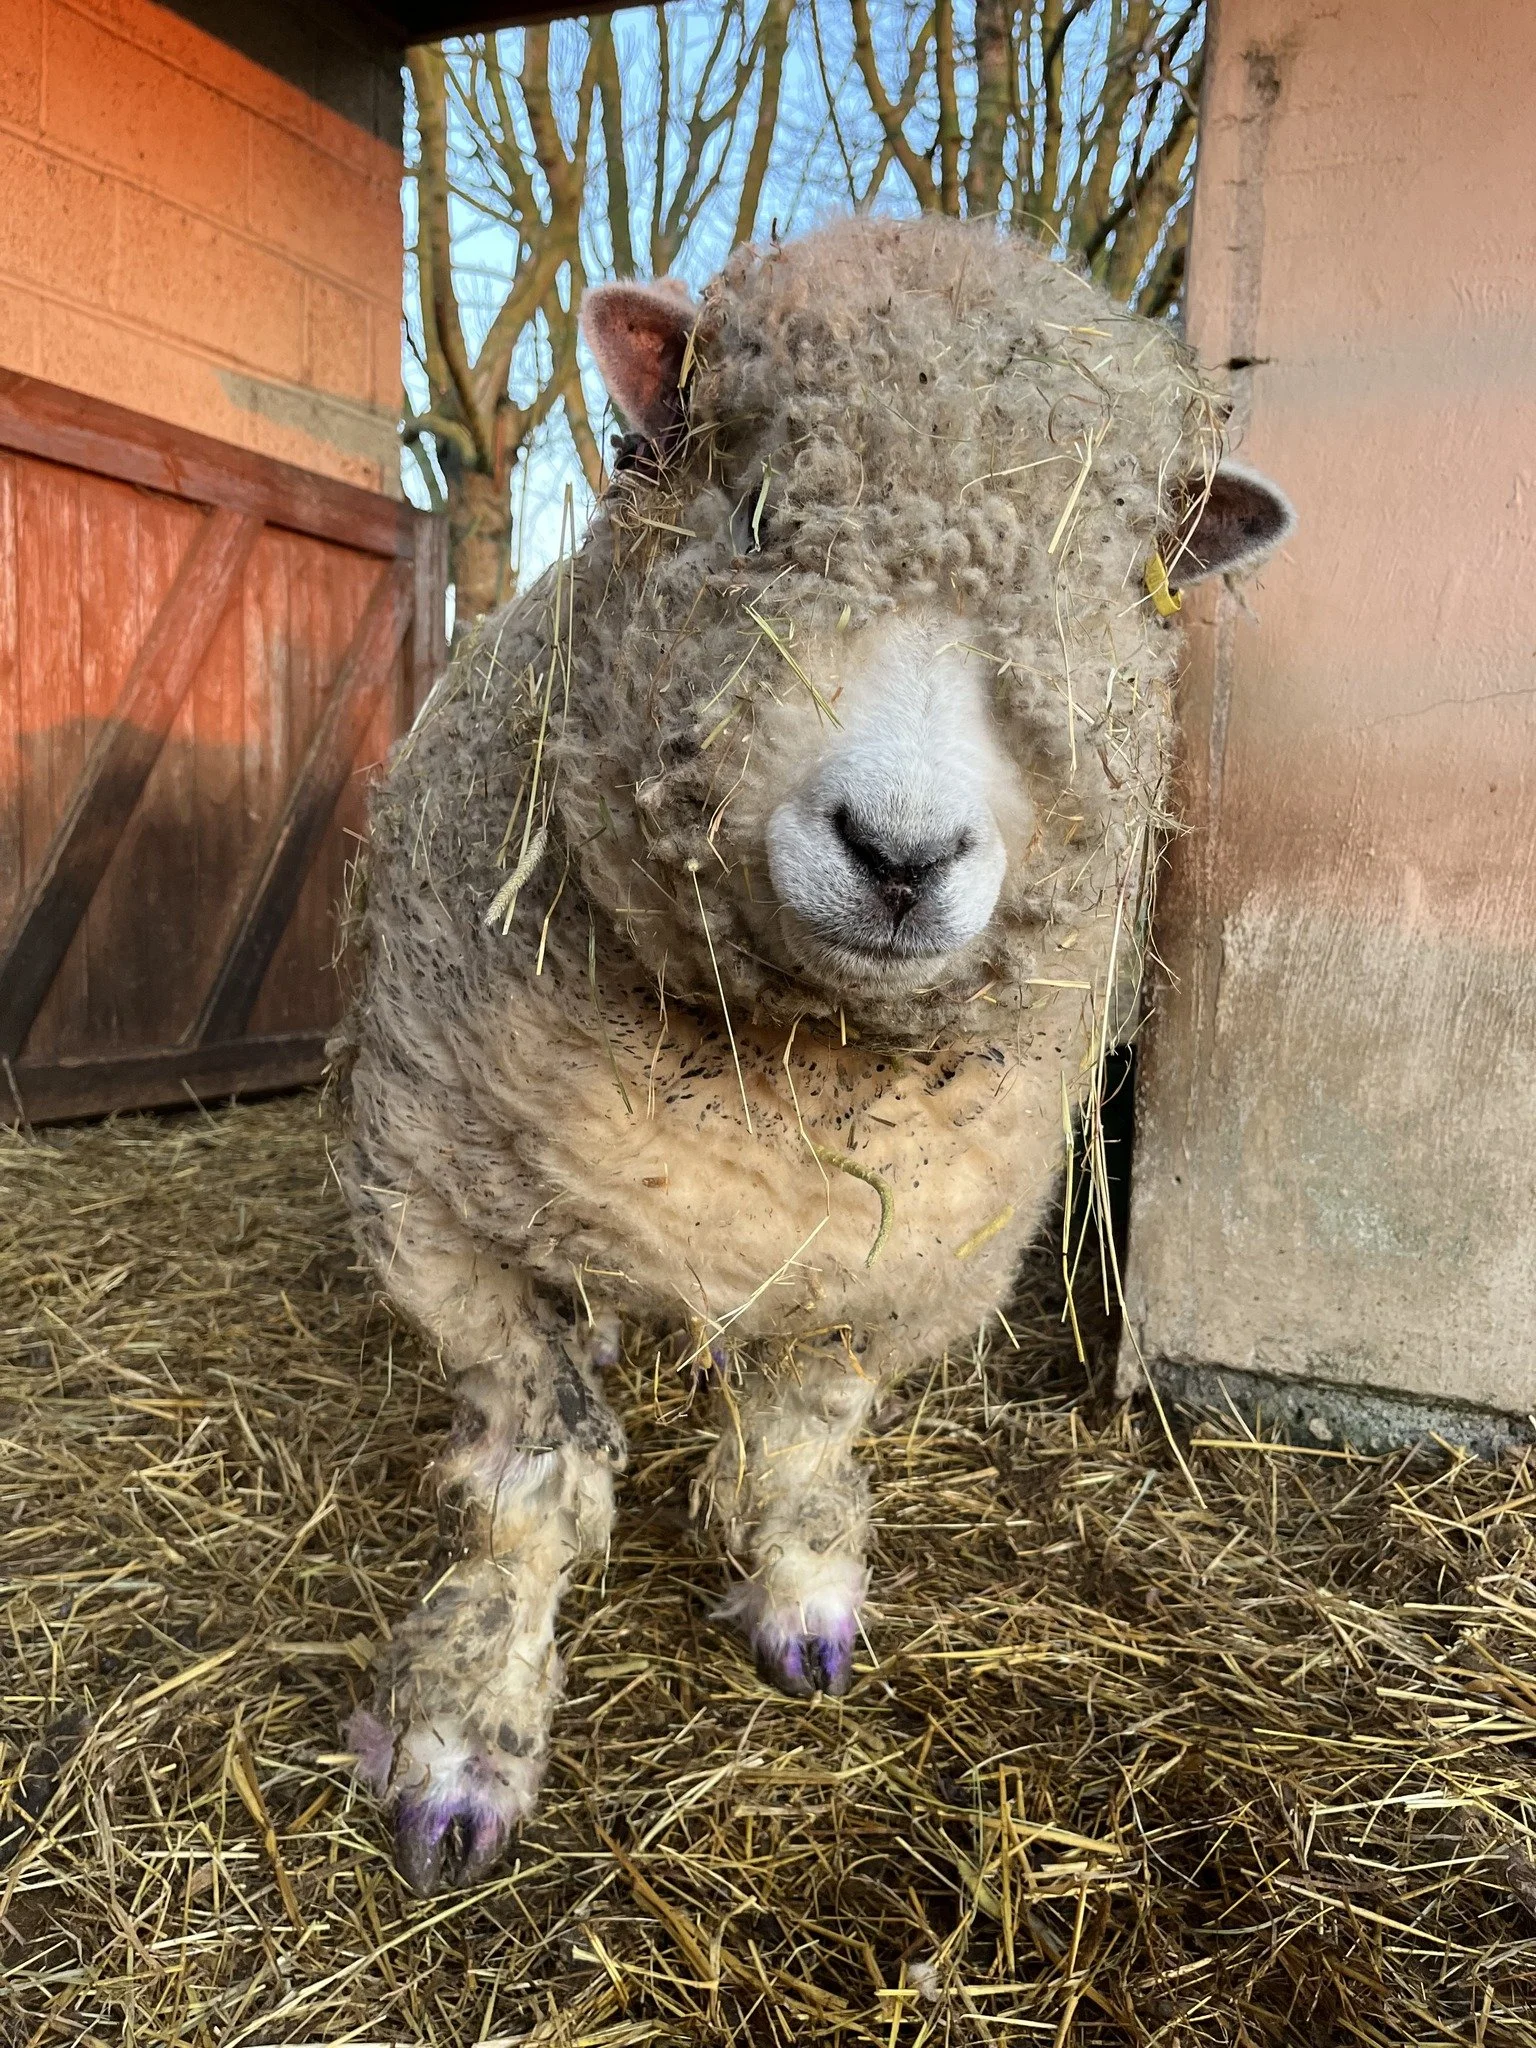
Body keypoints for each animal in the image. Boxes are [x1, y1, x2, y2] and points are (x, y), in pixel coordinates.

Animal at [335, 214, 1293, 1895]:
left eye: (1123, 587)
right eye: (759, 509)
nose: (902, 855)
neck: (788, 1064)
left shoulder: (899, 1256)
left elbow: (803, 1431)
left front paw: (802, 1600)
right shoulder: (453, 1226)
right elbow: (530, 1491)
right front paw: (465, 1740)